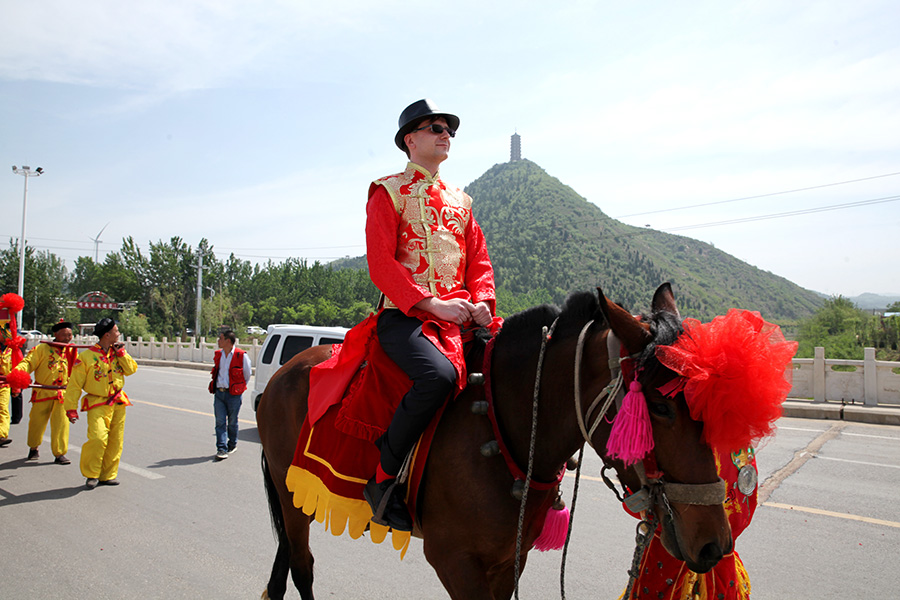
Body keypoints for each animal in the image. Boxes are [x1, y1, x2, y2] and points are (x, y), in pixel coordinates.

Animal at [256, 284, 736, 596]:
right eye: (660, 407)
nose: (715, 544)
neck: (504, 426)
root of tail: (284, 372)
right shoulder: (454, 560)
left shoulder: (509, 559)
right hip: (288, 488)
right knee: (302, 566)